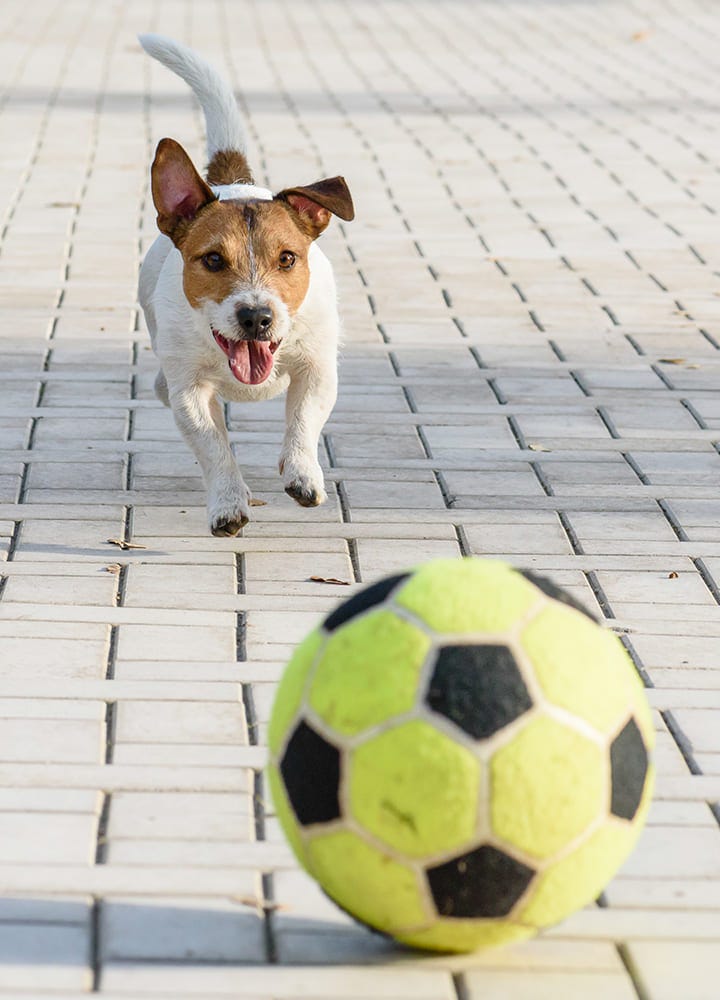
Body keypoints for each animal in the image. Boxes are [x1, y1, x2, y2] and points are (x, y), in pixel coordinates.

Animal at [136, 35, 352, 536]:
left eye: (287, 258)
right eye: (214, 260)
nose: (256, 317)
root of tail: (233, 182)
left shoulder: (317, 369)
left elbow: (304, 419)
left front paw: (302, 472)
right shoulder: (190, 391)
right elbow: (213, 445)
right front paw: (229, 503)